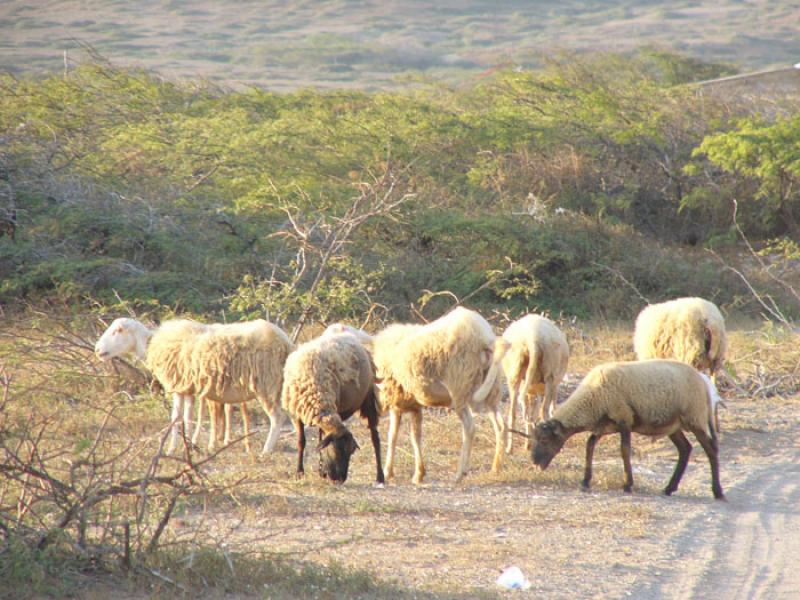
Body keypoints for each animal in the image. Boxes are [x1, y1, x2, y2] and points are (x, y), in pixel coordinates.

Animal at [280, 332, 382, 488]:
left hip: (369, 398)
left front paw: (320, 471)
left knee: (375, 437)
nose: (340, 479)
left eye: (350, 452)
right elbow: (301, 442)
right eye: (337, 451)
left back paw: (380, 477)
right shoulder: (297, 415)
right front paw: (300, 472)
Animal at [372, 308, 510, 486]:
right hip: (491, 392)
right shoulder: (411, 404)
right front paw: (417, 473)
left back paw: (460, 474)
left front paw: (390, 472)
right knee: (501, 425)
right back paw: (496, 468)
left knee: (470, 428)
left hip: (460, 388)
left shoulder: (398, 402)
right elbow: (410, 436)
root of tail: (487, 339)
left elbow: (397, 436)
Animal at [500, 316, 568, 452]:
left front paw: (529, 443)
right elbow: (550, 409)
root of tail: (532, 339)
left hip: (514, 374)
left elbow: (530, 413)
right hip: (550, 375)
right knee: (544, 411)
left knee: (513, 412)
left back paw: (510, 448)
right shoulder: (553, 386)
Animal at [532, 358, 724, 500]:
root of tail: (703, 383)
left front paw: (627, 484)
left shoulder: (624, 419)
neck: (592, 399)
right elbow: (589, 445)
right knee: (685, 449)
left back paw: (717, 491)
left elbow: (624, 450)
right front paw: (585, 481)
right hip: (673, 424)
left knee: (711, 449)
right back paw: (669, 488)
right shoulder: (605, 425)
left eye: (544, 439)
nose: (534, 461)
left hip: (695, 418)